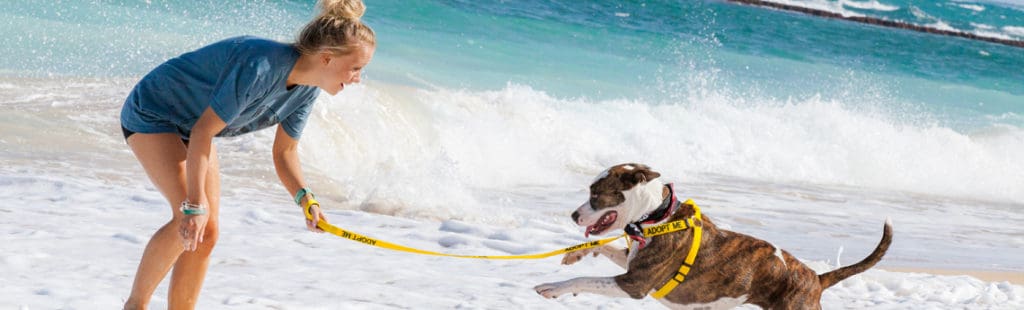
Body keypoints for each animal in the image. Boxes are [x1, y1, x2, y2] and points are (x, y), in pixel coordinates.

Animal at [532, 163, 892, 308]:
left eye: (595, 194)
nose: (573, 215)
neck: (656, 216)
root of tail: (815, 279)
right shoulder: (632, 260)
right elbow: (601, 246)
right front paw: (576, 252)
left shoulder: (635, 284)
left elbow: (584, 279)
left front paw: (553, 287)